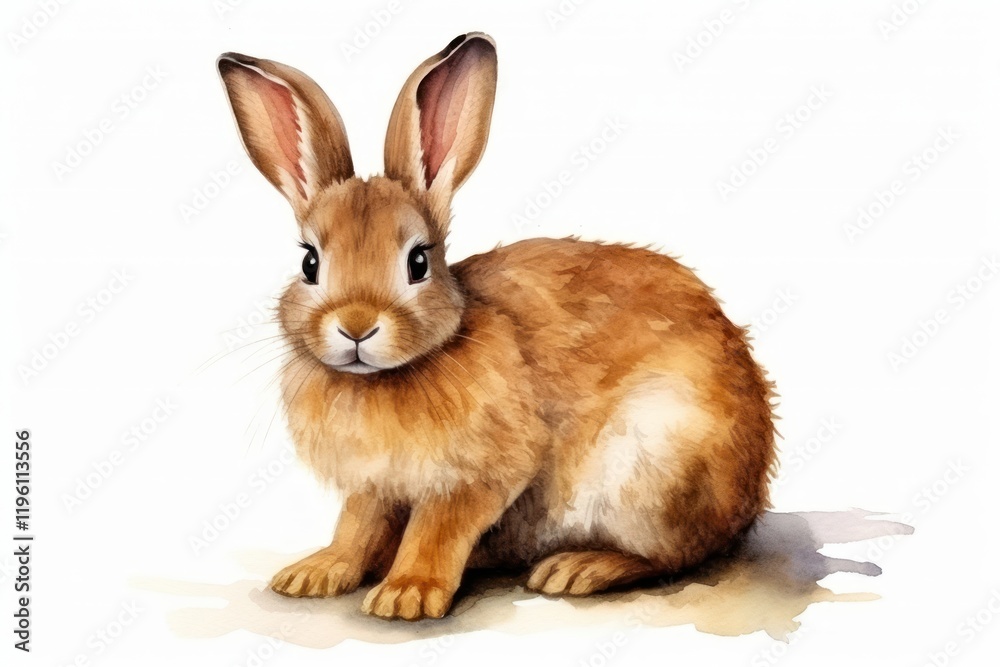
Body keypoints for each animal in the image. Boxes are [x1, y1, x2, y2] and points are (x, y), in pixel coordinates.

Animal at [217, 32, 776, 622]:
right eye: (310, 263)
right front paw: (316, 573)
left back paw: (578, 567)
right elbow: (357, 525)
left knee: (674, 555)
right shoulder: (373, 484)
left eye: (418, 262)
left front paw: (406, 592)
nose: (356, 326)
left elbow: (438, 528)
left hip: (654, 468)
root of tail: (750, 492)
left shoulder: (478, 474)